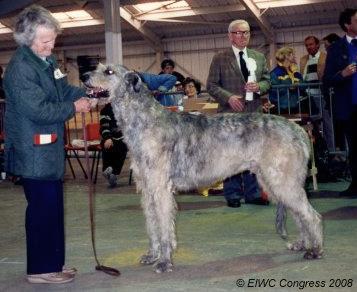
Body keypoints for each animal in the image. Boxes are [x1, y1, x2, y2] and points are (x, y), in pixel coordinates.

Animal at [85, 63, 322, 274]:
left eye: (109, 71)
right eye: (99, 67)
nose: (84, 75)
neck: (145, 121)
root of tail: (298, 128)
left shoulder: (161, 189)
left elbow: (164, 227)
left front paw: (164, 262)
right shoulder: (147, 190)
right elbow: (152, 225)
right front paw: (152, 255)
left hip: (282, 180)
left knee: (311, 215)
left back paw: (316, 249)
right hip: (275, 181)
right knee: (299, 214)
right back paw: (303, 244)